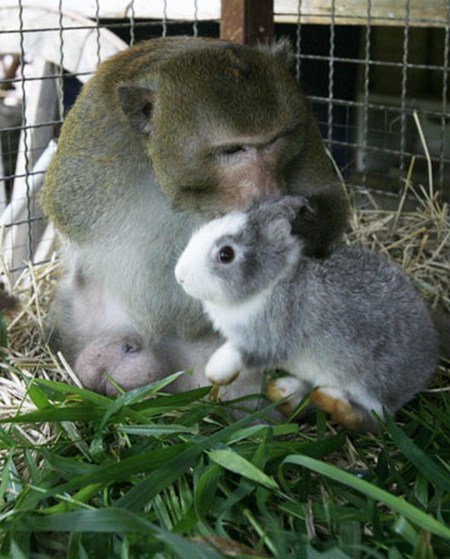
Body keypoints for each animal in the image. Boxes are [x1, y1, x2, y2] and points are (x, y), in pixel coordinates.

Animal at [42, 36, 348, 398]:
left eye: (275, 140)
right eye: (232, 150)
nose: (268, 188)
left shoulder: (306, 134)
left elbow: (331, 201)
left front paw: (301, 228)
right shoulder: (90, 149)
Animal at [174, 197, 438, 434]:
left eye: (226, 254)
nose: (180, 275)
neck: (271, 282)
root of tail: (425, 368)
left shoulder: (269, 339)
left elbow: (237, 354)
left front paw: (214, 374)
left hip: (370, 386)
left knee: (369, 421)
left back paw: (327, 397)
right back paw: (283, 391)